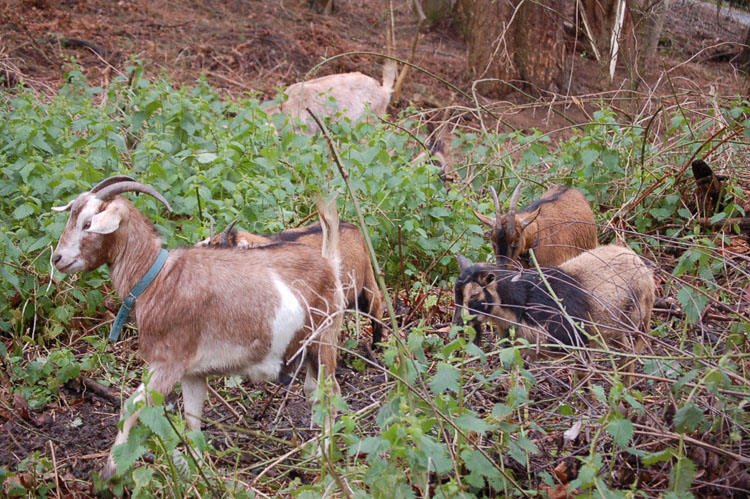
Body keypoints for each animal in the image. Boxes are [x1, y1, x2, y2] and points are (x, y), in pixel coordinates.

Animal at [51, 176, 344, 480]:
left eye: (88, 223)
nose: (57, 258)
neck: (156, 278)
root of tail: (329, 264)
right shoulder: (192, 372)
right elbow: (192, 421)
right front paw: (199, 473)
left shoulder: (167, 362)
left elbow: (132, 406)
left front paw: (110, 471)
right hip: (307, 349)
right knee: (313, 393)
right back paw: (314, 454)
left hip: (326, 338)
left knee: (331, 394)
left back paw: (323, 461)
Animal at [452, 245, 654, 373]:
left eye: (474, 295)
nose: (458, 324)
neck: (524, 302)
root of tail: (637, 260)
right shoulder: (522, 350)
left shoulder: (579, 342)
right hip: (612, 328)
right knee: (626, 350)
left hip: (638, 316)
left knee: (639, 343)